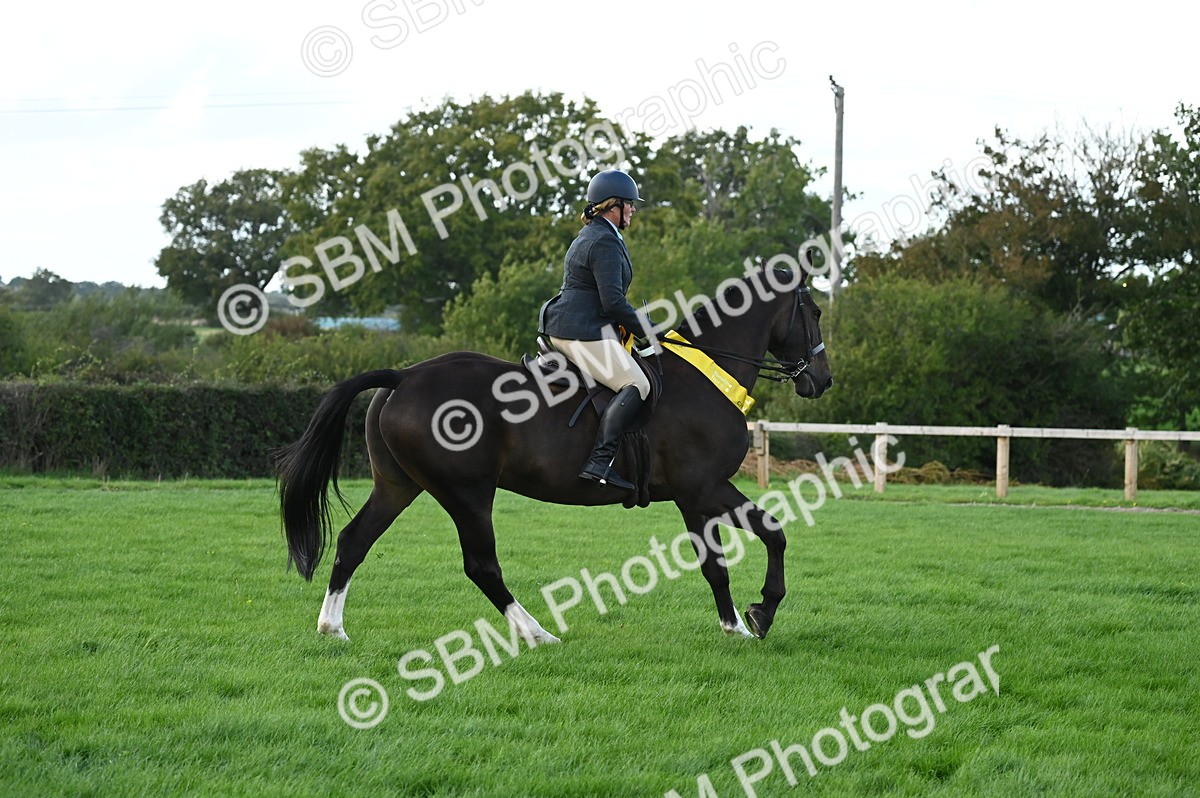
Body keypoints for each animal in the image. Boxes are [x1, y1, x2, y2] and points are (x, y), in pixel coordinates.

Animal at [275, 267, 832, 644]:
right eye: (814, 313)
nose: (821, 381)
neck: (707, 373)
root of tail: (404, 376)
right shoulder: (708, 488)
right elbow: (775, 532)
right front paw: (763, 612)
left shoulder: (693, 497)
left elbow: (714, 565)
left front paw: (735, 626)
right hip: (467, 493)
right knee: (482, 566)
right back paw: (537, 633)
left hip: (399, 485)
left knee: (354, 540)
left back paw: (332, 628)